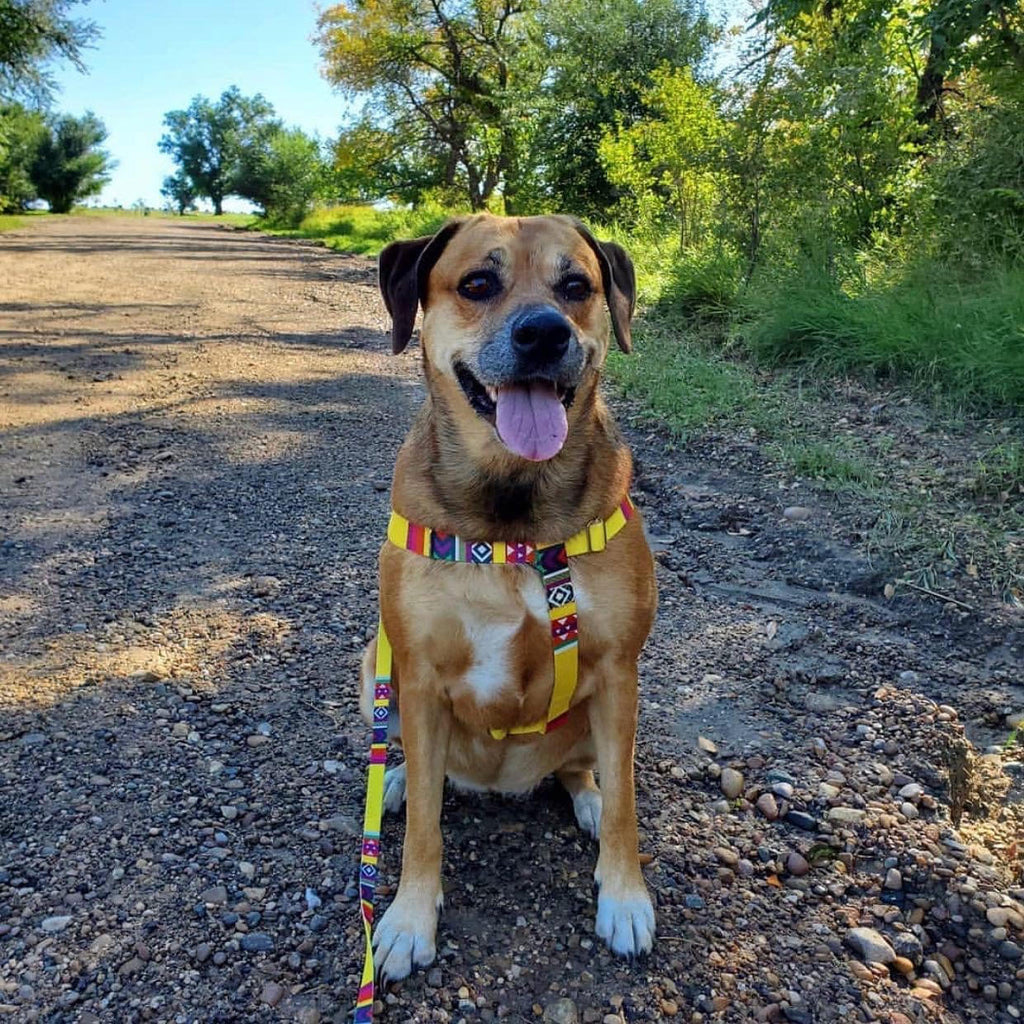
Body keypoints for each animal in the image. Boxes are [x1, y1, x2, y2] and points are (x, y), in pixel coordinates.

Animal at [364, 211, 659, 978]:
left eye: (576, 287)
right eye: (477, 284)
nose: (544, 334)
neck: (513, 515)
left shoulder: (620, 671)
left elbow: (626, 803)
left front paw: (624, 896)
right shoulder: (419, 676)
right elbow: (426, 828)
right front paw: (409, 917)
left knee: (585, 773)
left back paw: (585, 799)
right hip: (373, 668)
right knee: (420, 766)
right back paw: (399, 780)